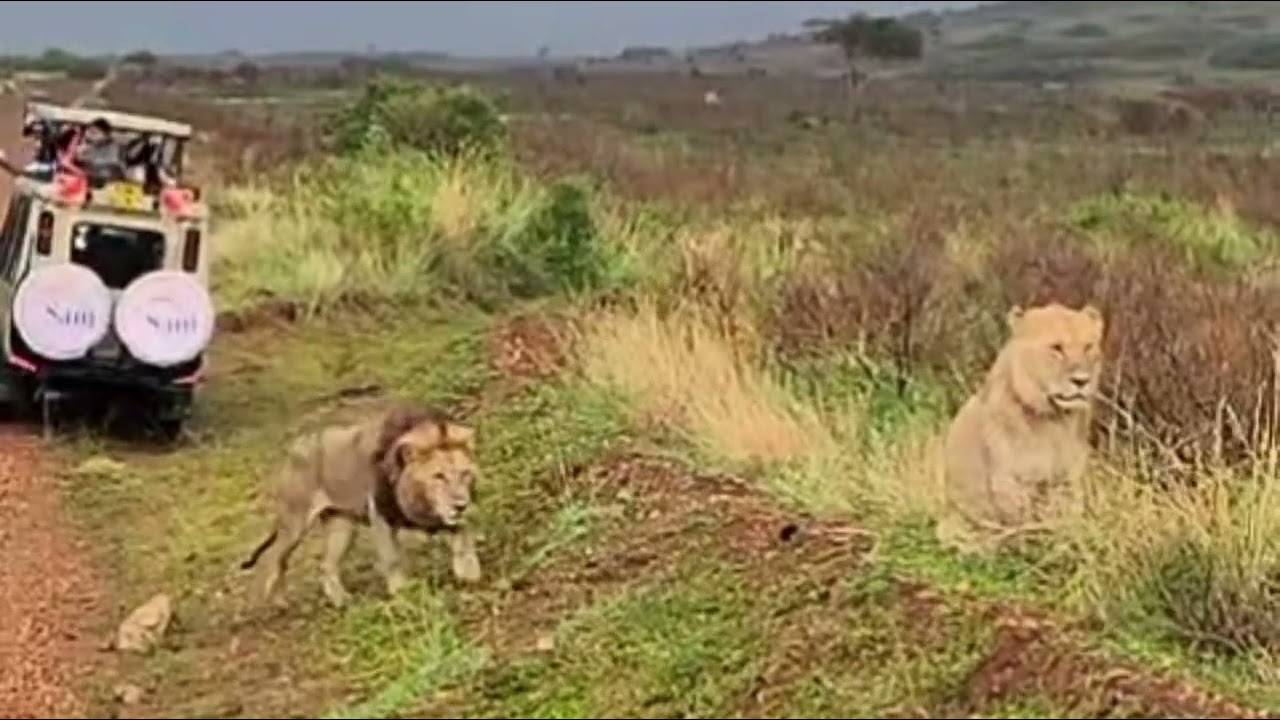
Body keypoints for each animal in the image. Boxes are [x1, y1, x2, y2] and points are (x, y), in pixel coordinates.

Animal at [240, 402, 482, 608]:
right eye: (438, 476)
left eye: (465, 473)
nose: (461, 505)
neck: (419, 501)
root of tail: (292, 449)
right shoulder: (380, 514)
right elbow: (392, 559)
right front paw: (404, 595)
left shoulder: (452, 517)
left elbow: (464, 539)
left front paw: (470, 576)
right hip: (295, 522)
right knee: (274, 560)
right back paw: (277, 601)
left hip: (342, 525)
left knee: (326, 566)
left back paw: (342, 601)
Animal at [935, 302, 1105, 555]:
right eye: (1057, 348)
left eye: (1088, 347)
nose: (1081, 381)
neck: (1054, 420)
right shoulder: (1009, 481)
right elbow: (1024, 523)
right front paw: (1031, 549)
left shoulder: (1068, 480)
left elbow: (1066, 518)